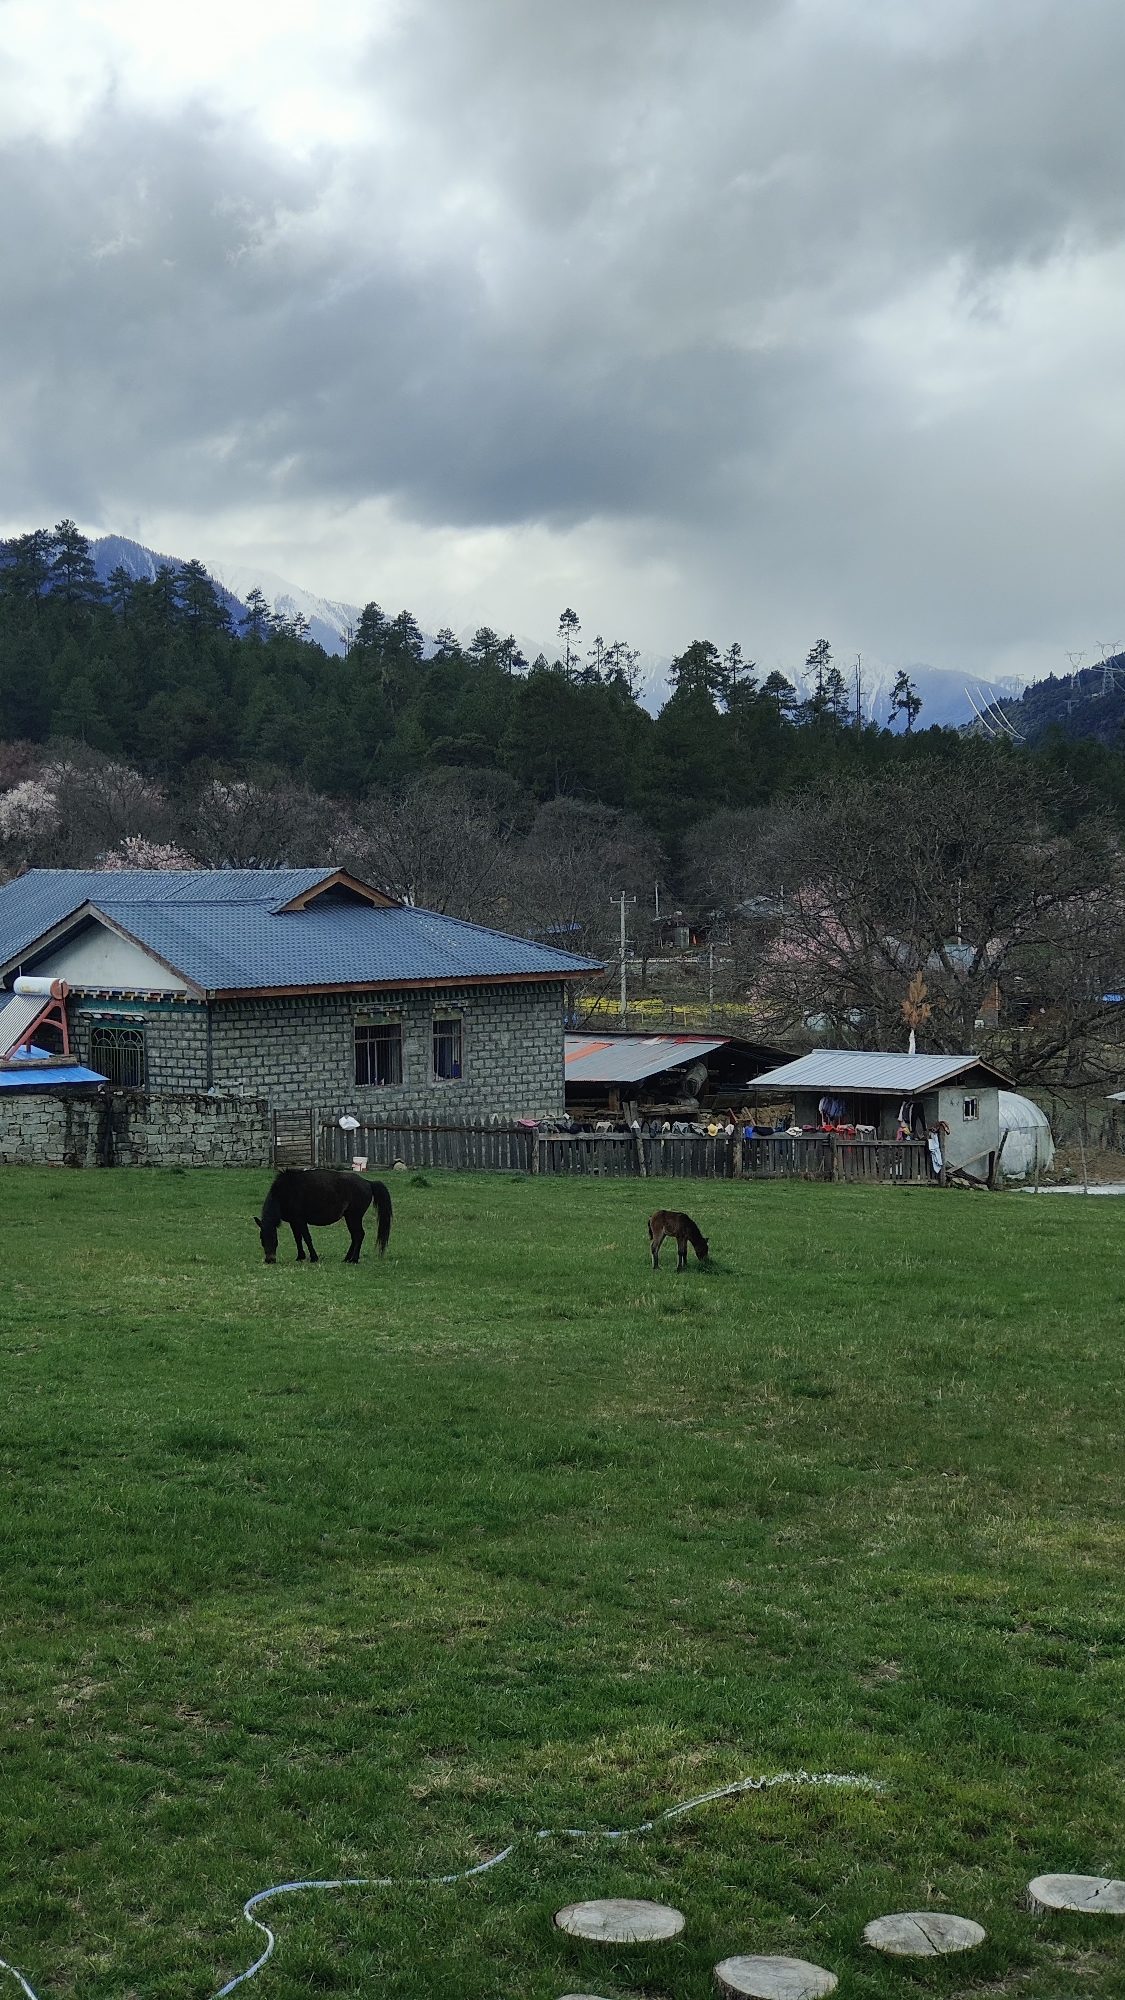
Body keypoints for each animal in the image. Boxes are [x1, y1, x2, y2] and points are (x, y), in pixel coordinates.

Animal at [252, 1168, 392, 1264]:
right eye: (261, 1238)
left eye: (273, 1237)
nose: (269, 1260)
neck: (284, 1192)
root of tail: (368, 1183)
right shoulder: (293, 1222)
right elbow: (298, 1238)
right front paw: (300, 1257)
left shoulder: (300, 1220)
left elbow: (307, 1238)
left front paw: (314, 1258)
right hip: (349, 1217)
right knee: (355, 1237)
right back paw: (347, 1259)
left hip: (354, 1217)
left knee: (359, 1235)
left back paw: (354, 1259)